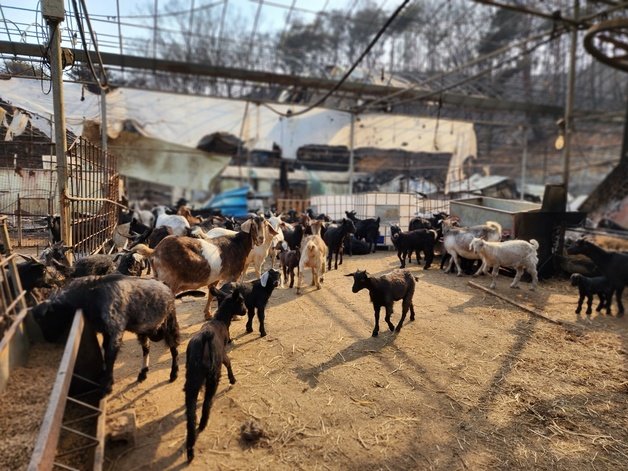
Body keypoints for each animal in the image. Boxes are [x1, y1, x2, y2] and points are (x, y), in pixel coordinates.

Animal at [31, 274, 180, 396]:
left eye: (44, 319)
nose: (48, 339)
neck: (92, 294)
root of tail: (165, 285)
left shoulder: (116, 330)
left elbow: (109, 356)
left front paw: (107, 385)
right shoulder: (105, 331)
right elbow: (104, 350)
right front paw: (105, 377)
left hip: (168, 325)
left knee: (174, 348)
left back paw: (174, 374)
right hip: (144, 330)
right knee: (146, 348)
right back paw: (143, 373)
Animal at [133, 217, 264, 318]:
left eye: (264, 225)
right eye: (253, 226)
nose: (261, 239)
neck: (238, 243)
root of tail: (155, 251)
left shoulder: (215, 277)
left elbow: (212, 293)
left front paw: (208, 314)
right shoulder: (232, 275)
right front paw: (235, 316)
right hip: (169, 282)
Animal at [184, 286, 245, 462]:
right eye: (242, 302)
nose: (245, 311)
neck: (220, 319)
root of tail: (205, 338)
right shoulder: (223, 354)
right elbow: (229, 363)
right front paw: (233, 379)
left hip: (192, 376)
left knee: (190, 412)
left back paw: (190, 448)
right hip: (213, 374)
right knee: (207, 402)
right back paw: (203, 424)